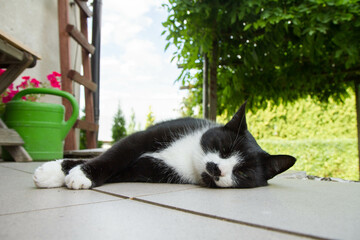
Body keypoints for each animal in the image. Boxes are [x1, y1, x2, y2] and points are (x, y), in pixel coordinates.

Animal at [33, 102, 296, 190]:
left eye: (243, 172)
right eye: (224, 148)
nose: (218, 169)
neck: (188, 157)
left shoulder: (150, 169)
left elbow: (122, 169)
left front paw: (77, 175)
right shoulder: (149, 135)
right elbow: (115, 154)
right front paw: (57, 172)